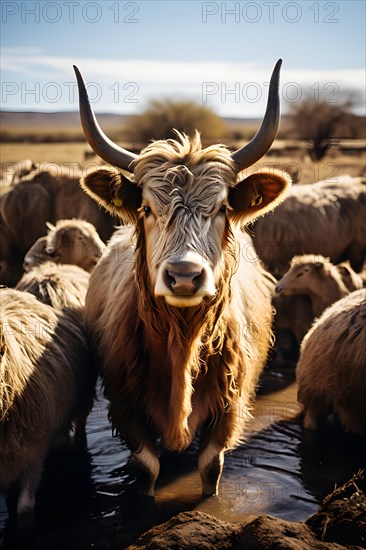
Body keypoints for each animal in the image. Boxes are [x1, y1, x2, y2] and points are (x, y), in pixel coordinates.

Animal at [75, 61, 292, 500]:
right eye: (145, 208)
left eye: (223, 207)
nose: (184, 276)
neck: (181, 340)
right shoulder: (125, 407)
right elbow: (147, 468)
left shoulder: (229, 405)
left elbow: (210, 468)